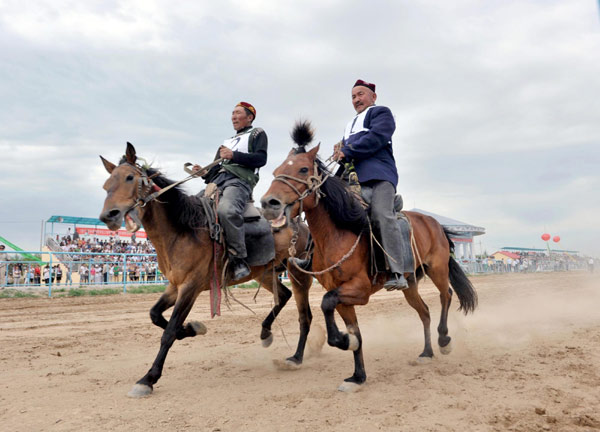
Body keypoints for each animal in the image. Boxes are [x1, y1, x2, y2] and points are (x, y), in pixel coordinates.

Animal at [98, 143, 314, 396]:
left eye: (130, 177)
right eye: (106, 184)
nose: (108, 216)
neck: (184, 229)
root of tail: (302, 225)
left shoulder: (190, 287)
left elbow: (169, 332)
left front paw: (148, 379)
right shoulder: (174, 286)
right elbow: (155, 315)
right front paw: (193, 328)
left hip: (298, 274)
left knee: (305, 316)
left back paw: (296, 357)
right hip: (264, 274)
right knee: (284, 295)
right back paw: (266, 333)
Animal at [260, 121, 476, 392]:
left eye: (302, 168)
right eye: (276, 170)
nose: (268, 203)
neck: (338, 233)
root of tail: (435, 223)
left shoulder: (359, 290)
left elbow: (327, 304)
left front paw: (345, 342)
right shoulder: (342, 295)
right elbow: (353, 329)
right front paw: (357, 375)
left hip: (437, 268)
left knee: (445, 295)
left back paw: (444, 339)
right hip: (410, 284)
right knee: (424, 311)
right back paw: (426, 352)